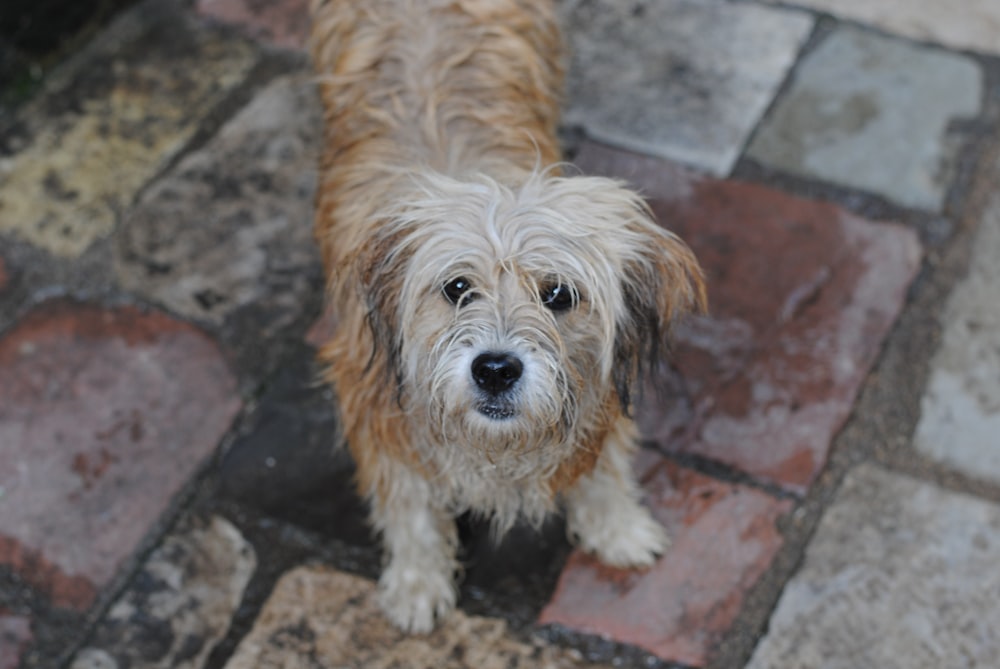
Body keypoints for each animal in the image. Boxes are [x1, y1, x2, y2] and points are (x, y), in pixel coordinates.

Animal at [308, 0, 708, 632]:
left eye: (559, 294)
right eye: (457, 287)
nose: (495, 369)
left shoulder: (597, 392)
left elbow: (601, 468)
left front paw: (618, 529)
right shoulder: (372, 401)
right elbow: (410, 504)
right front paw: (418, 582)